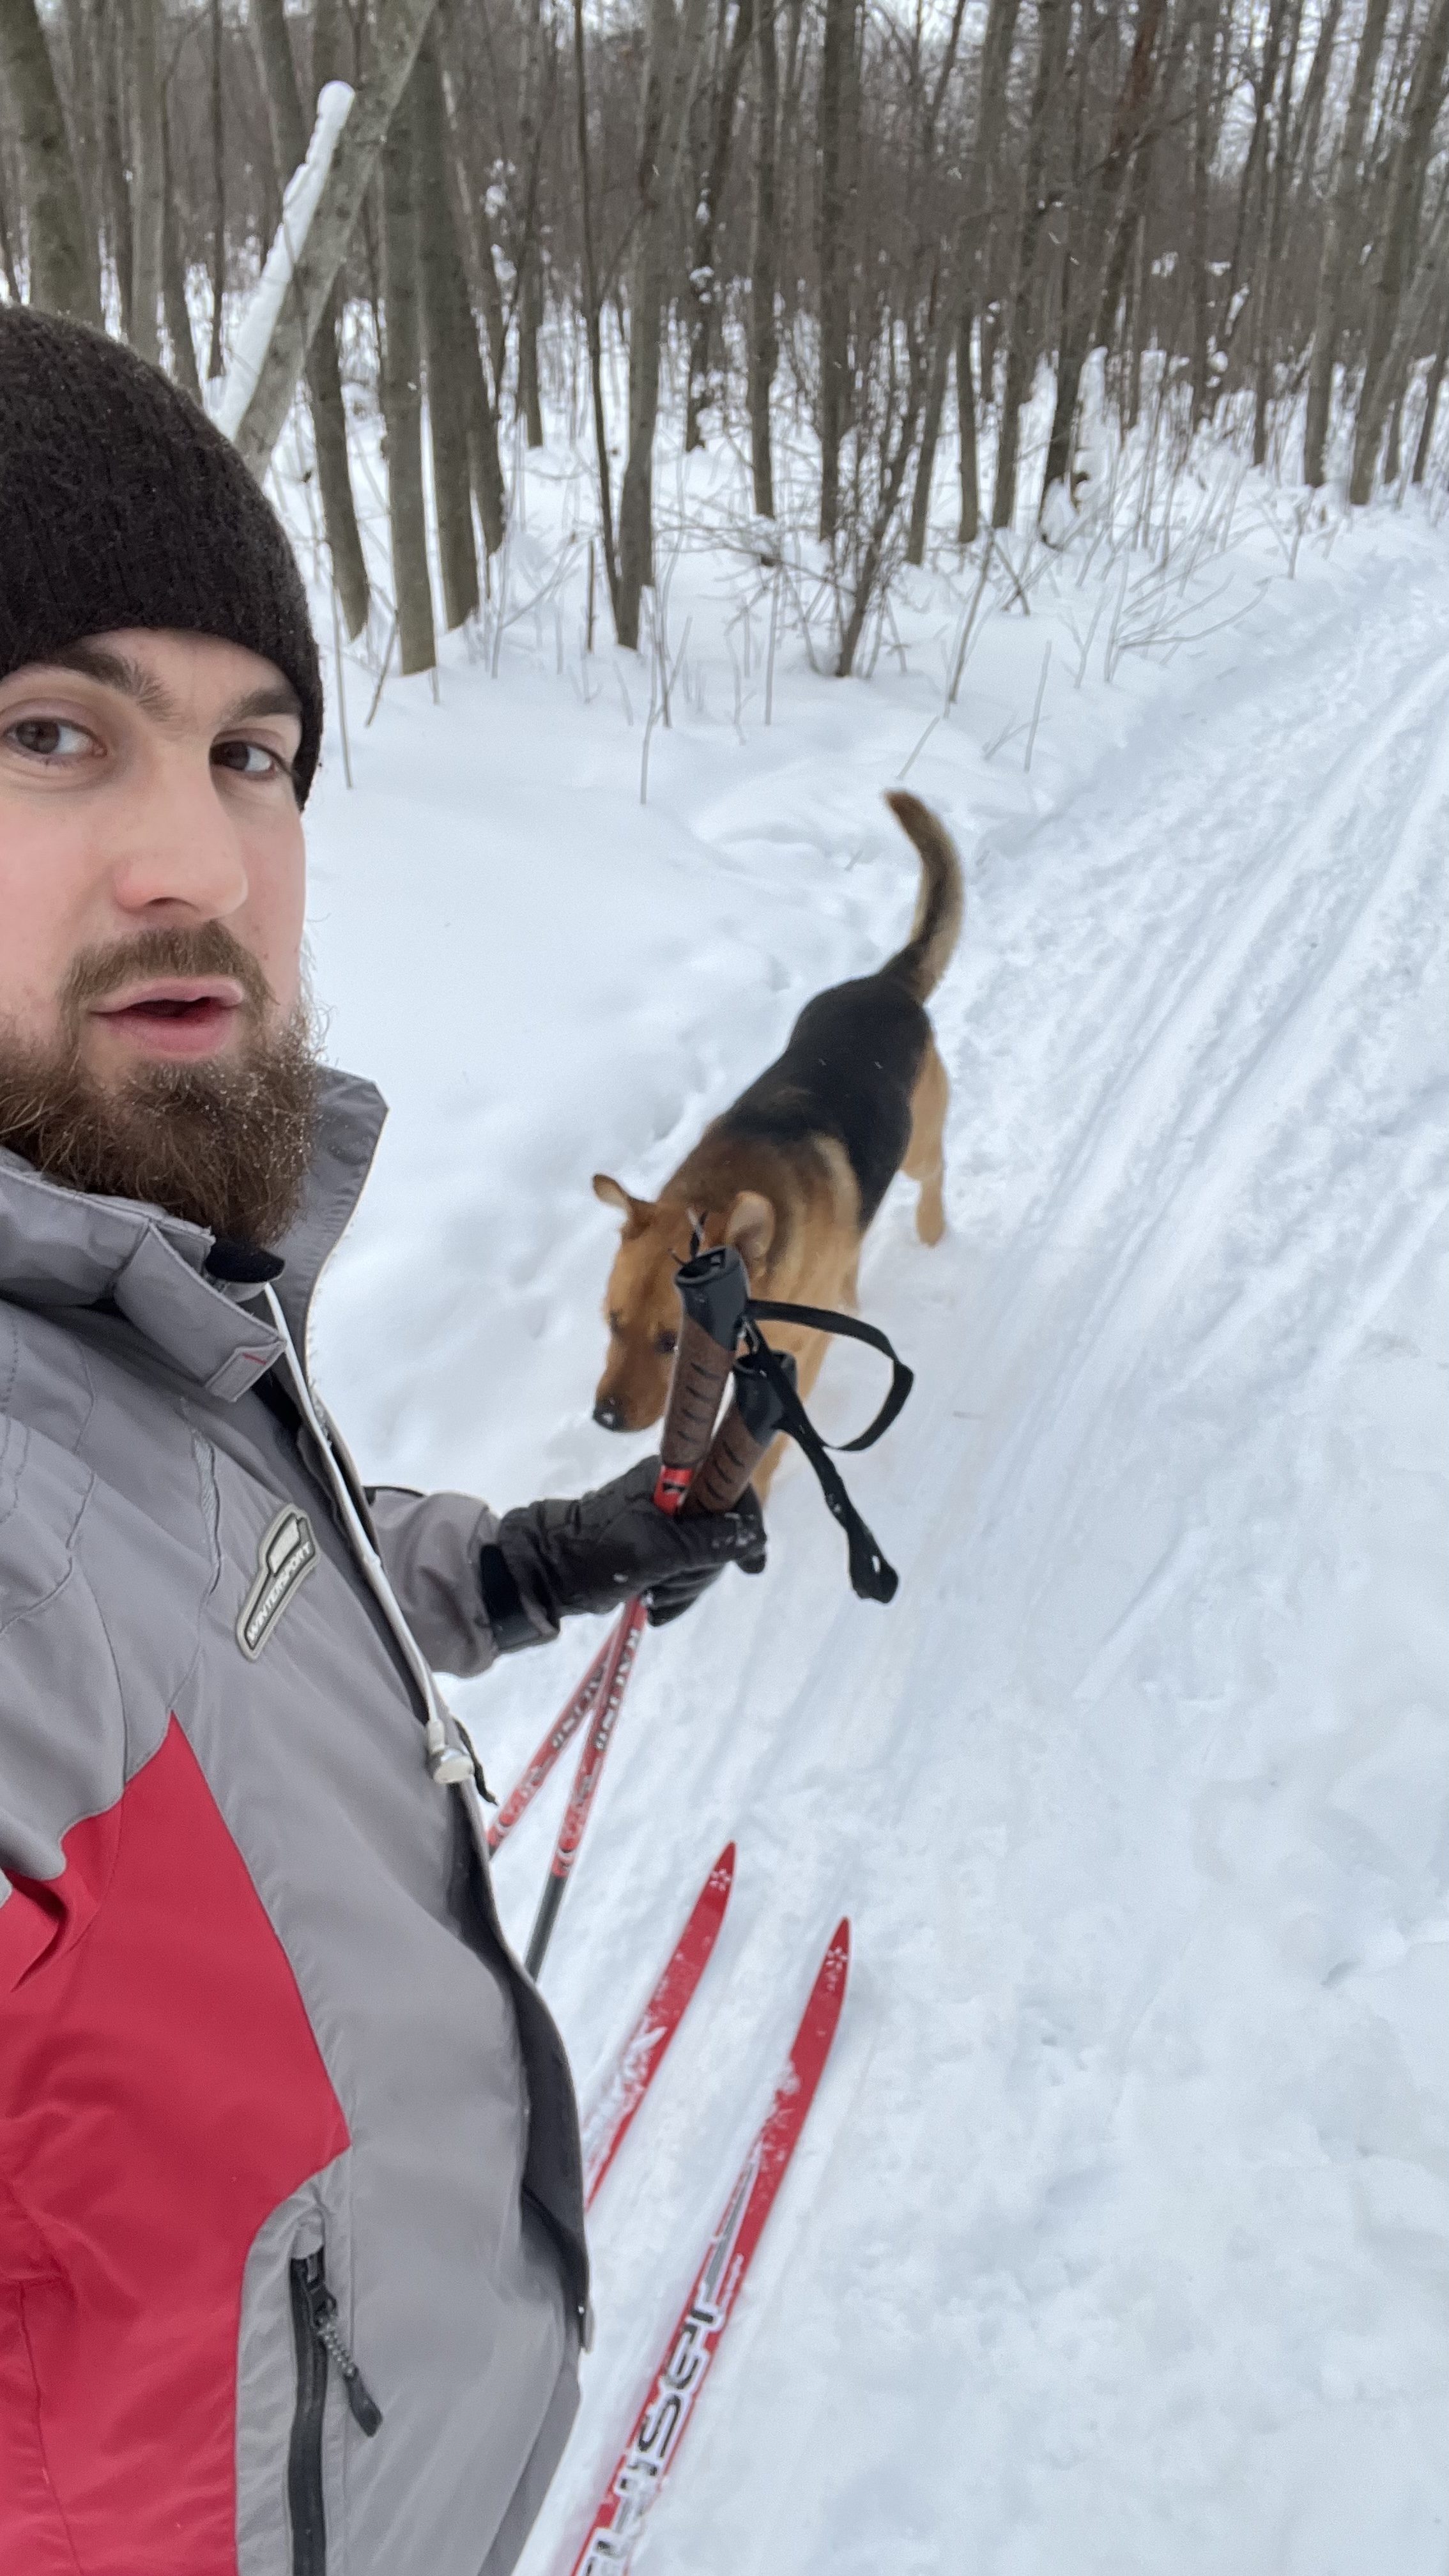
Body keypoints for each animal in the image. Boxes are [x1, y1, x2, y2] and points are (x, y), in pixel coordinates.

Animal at [588, 793, 959, 1504]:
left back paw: (932, 1230)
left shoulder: (798, 1361)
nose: (606, 1420)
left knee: (936, 1172)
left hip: (919, 1147)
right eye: (612, 1324)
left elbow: (771, 1449)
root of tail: (886, 984)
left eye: (671, 1342)